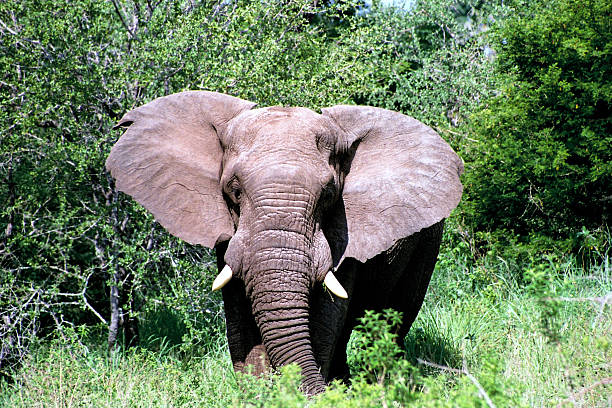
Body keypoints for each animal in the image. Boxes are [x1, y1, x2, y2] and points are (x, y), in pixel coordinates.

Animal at [105, 90, 462, 396]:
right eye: (234, 190)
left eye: (328, 195)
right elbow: (239, 314)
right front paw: (259, 394)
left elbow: (325, 316)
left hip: (427, 242)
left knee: (393, 321)